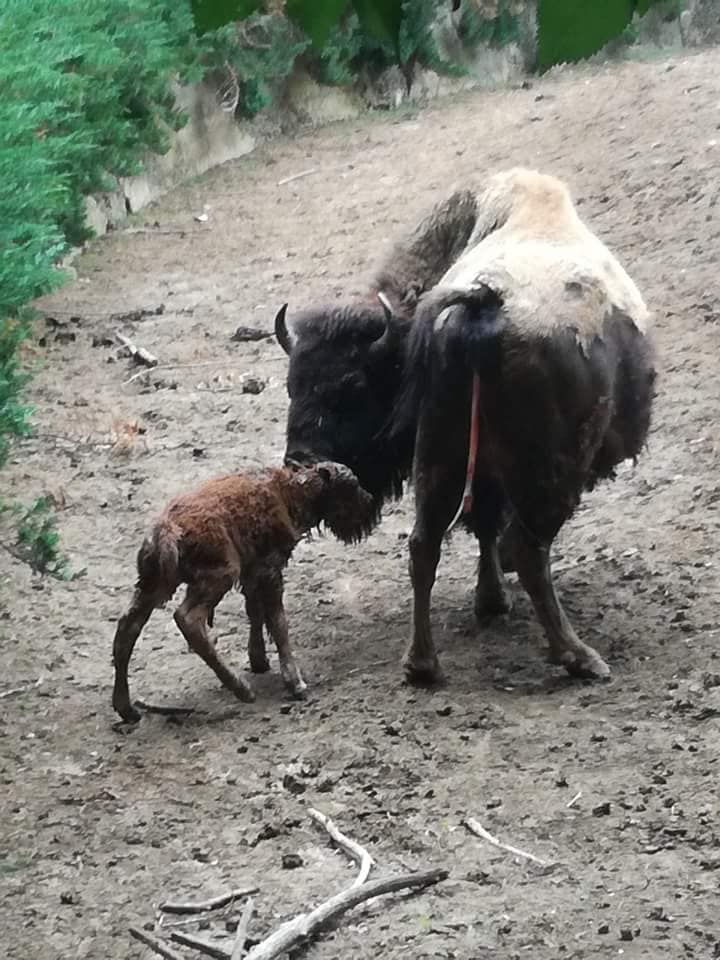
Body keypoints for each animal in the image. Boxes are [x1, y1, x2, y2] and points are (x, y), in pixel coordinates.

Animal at [112, 464, 376, 720]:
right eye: (352, 485)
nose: (370, 501)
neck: (289, 492)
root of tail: (167, 529)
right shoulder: (269, 570)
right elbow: (278, 623)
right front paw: (295, 683)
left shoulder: (252, 572)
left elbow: (255, 611)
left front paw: (259, 661)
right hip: (219, 575)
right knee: (188, 619)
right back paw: (242, 690)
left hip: (154, 586)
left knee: (128, 627)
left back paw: (126, 709)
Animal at [278, 169, 660, 688]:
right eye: (293, 386)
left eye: (352, 385)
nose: (303, 464)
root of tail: (482, 302)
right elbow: (493, 529)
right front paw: (495, 599)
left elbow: (479, 527)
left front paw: (491, 601)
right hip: (550, 474)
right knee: (528, 549)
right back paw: (579, 657)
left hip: (440, 457)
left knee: (424, 544)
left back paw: (423, 665)